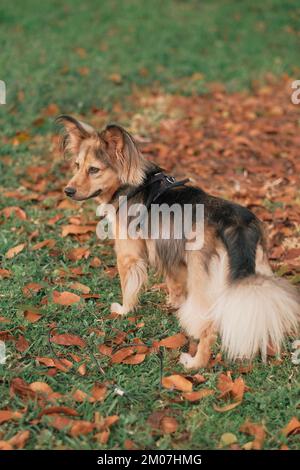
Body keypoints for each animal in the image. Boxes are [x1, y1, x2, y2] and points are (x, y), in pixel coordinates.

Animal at [56, 114, 300, 370]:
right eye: (77, 166)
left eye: (94, 170)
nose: (67, 191)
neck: (134, 186)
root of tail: (235, 224)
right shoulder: (170, 253)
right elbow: (173, 283)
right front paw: (174, 303)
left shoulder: (129, 255)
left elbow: (128, 287)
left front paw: (124, 310)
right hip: (256, 272)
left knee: (208, 326)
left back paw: (195, 363)